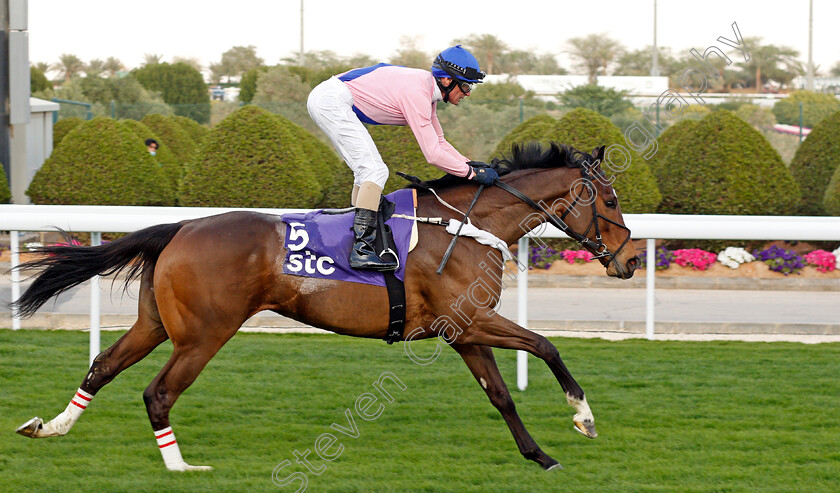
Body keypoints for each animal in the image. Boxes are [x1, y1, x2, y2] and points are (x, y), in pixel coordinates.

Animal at [11, 141, 636, 468]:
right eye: (609, 199)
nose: (629, 260)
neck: (467, 225)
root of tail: (181, 228)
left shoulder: (463, 331)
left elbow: (501, 394)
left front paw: (540, 456)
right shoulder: (473, 321)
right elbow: (546, 344)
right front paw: (583, 417)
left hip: (158, 323)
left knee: (103, 365)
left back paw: (51, 426)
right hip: (205, 332)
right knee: (158, 392)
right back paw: (180, 465)